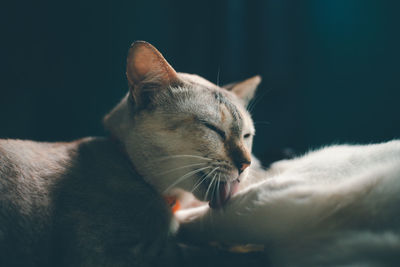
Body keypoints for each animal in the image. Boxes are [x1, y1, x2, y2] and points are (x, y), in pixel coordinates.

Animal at [0, 40, 262, 266]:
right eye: (213, 128)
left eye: (247, 136)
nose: (246, 164)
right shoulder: (113, 255)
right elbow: (201, 253)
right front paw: (245, 250)